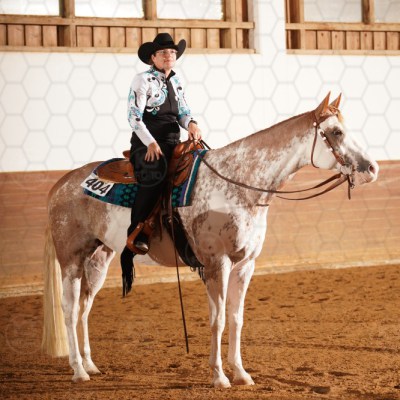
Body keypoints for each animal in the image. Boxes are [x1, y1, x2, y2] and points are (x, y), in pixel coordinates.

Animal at [41, 93, 379, 388]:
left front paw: (241, 373)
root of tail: (60, 185)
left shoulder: (246, 265)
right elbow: (217, 320)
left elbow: (236, 318)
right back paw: (77, 371)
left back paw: (90, 365)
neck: (239, 184)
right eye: (336, 132)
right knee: (69, 309)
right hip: (71, 259)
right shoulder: (218, 264)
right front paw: (219, 376)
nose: (372, 168)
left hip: (99, 257)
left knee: (84, 308)